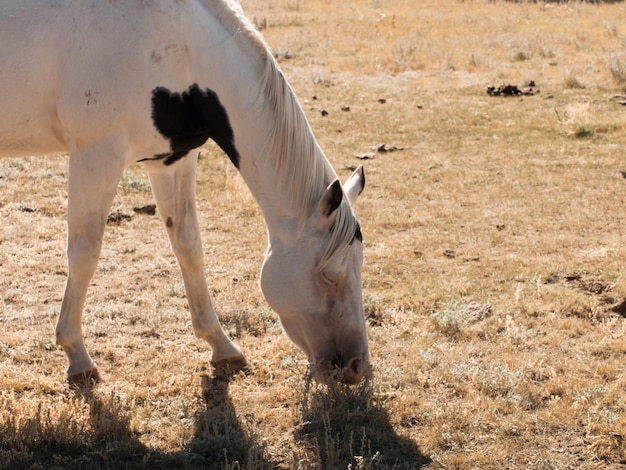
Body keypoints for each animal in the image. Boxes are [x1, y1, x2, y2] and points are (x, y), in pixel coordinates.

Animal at [0, 0, 368, 384]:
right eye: (330, 274)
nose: (357, 366)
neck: (178, 45)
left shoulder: (172, 159)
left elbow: (189, 247)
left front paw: (222, 346)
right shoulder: (97, 155)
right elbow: (85, 254)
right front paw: (77, 355)